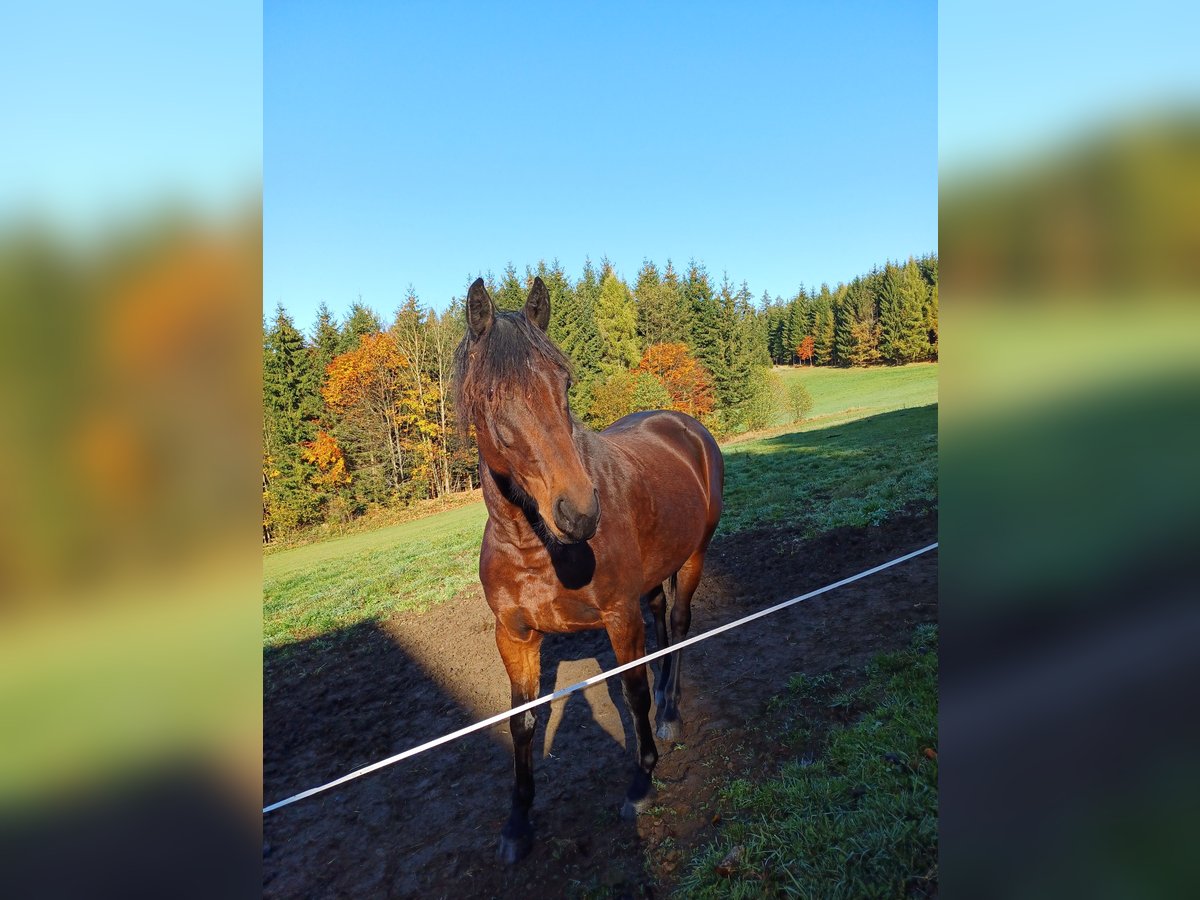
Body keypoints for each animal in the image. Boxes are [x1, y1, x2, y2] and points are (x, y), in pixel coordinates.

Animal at [453, 277, 720, 868]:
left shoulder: (619, 618)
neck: (536, 546)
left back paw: (671, 712)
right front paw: (518, 822)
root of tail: (682, 423)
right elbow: (522, 722)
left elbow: (633, 693)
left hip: (694, 556)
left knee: (680, 627)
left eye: (565, 383)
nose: (579, 512)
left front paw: (641, 783)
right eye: (492, 398)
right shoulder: (515, 637)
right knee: (664, 620)